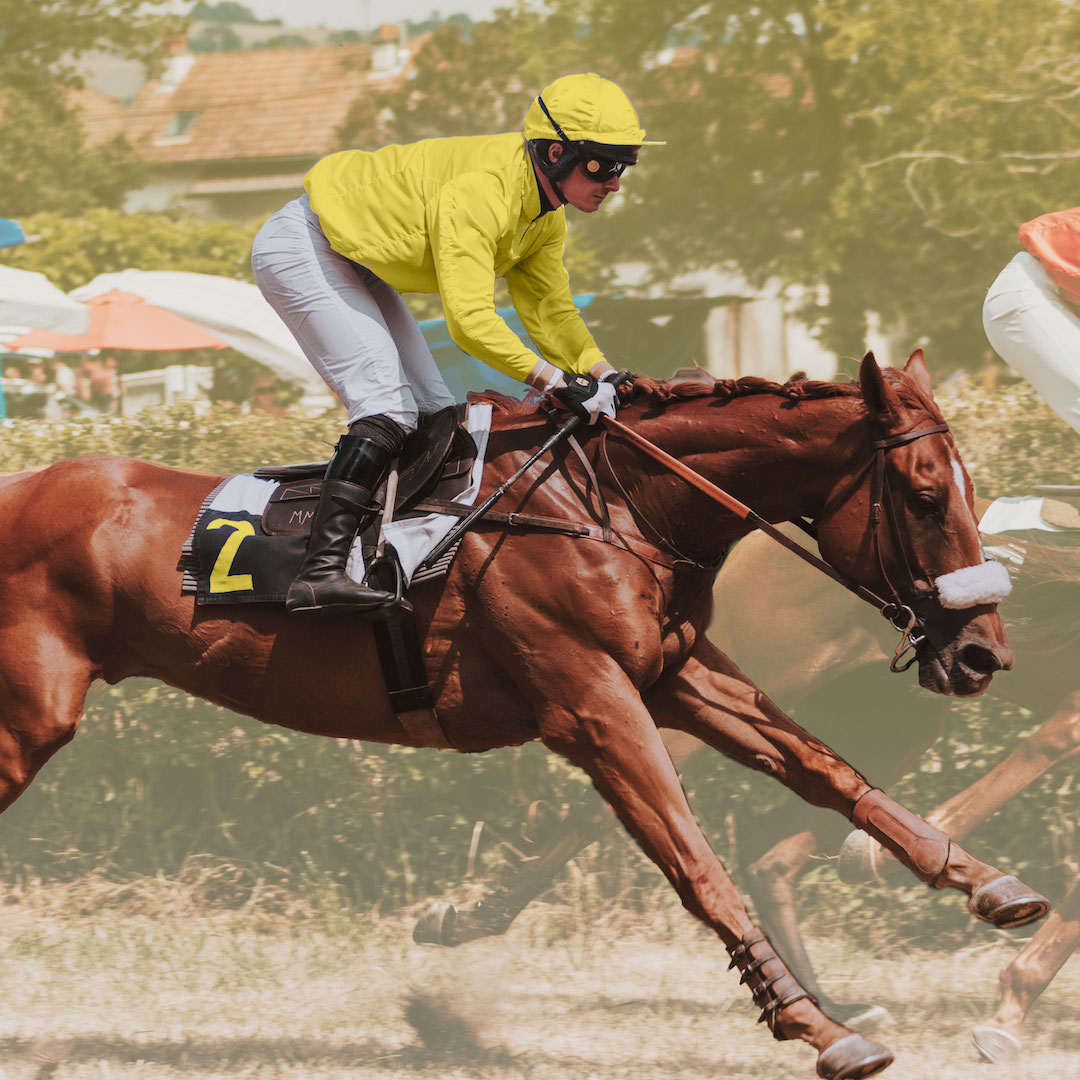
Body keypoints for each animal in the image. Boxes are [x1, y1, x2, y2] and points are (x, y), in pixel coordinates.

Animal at [0, 354, 1041, 1080]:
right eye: (925, 496)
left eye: (970, 491)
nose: (985, 653)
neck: (616, 505)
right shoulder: (592, 706)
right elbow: (697, 864)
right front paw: (819, 1026)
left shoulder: (677, 676)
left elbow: (829, 769)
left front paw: (987, 883)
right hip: (29, 720)